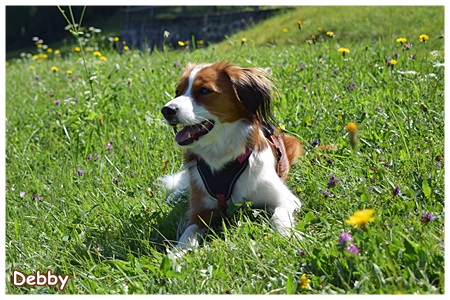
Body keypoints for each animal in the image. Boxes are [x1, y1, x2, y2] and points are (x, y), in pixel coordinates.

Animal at [158, 62, 302, 250]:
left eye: (204, 90)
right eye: (177, 91)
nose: (166, 110)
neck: (220, 153)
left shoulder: (286, 199)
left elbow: (279, 215)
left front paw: (286, 236)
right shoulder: (200, 211)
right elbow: (188, 233)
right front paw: (176, 254)